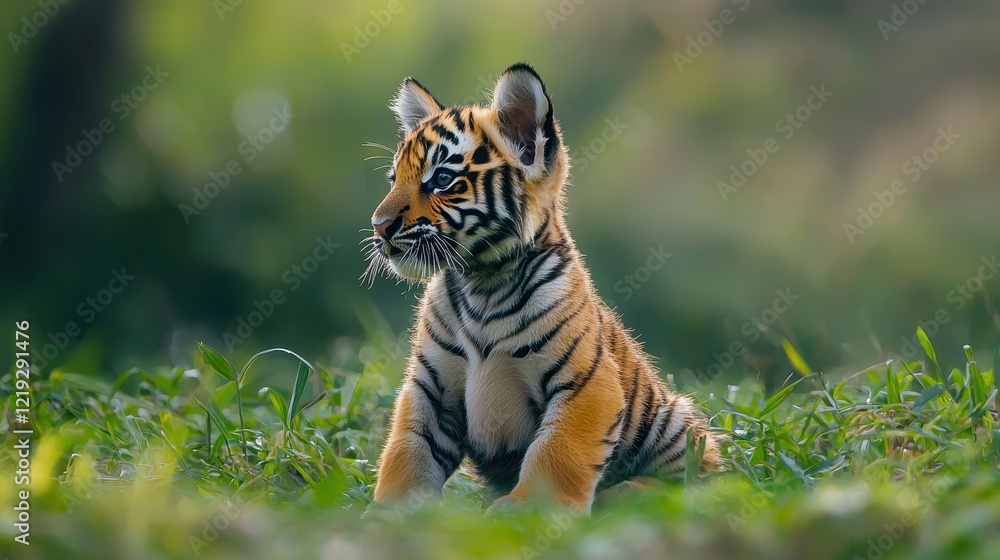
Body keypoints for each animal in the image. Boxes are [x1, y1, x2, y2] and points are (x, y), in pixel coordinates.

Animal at [363, 63, 721, 514]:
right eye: (394, 179)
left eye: (442, 178)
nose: (379, 226)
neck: (484, 279)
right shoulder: (431, 388)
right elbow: (407, 449)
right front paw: (384, 510)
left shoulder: (587, 384)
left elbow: (557, 451)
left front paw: (527, 509)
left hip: (675, 423)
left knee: (698, 481)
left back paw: (628, 494)